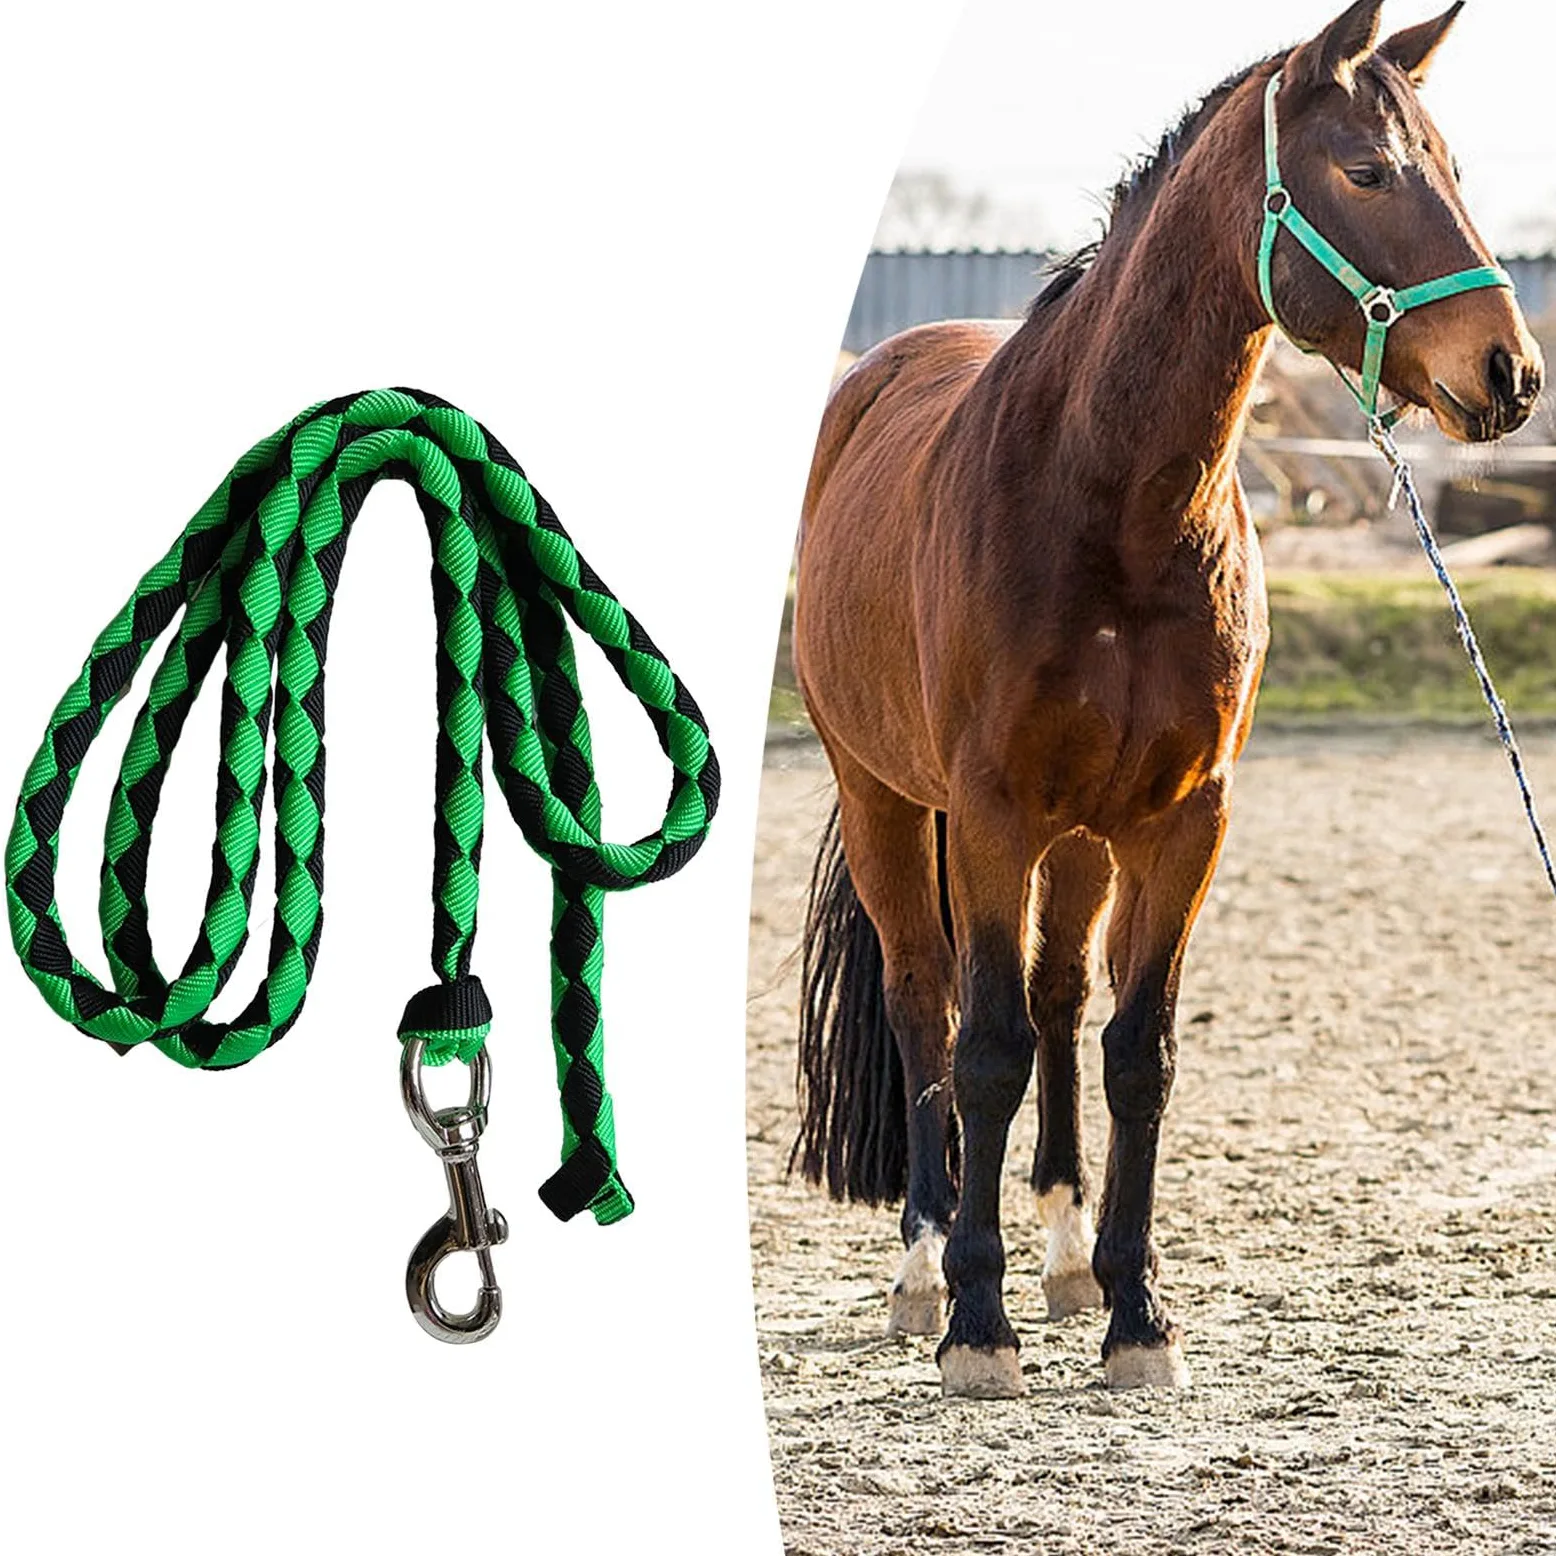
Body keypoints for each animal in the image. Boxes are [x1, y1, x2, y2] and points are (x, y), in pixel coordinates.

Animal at [790, 0, 1543, 1398]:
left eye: (1455, 172)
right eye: (1365, 172)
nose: (1508, 372)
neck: (1109, 505)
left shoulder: (1182, 820)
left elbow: (1135, 1051)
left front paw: (1135, 1311)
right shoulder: (989, 815)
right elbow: (981, 1052)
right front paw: (978, 1326)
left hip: (1082, 839)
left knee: (1054, 999)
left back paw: (1064, 1252)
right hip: (886, 803)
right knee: (925, 1004)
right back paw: (923, 1268)